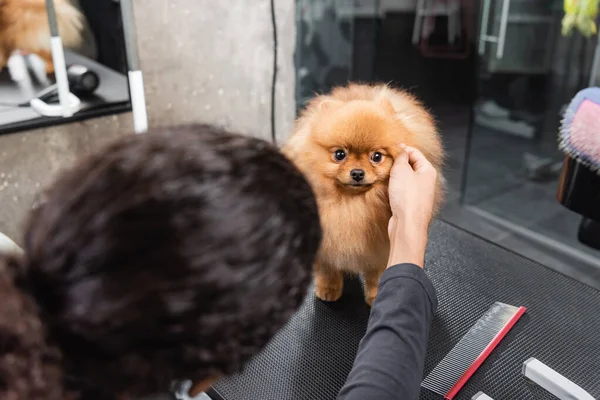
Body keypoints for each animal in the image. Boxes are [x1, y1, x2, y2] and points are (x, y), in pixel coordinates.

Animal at [282, 83, 446, 306]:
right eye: (340, 154)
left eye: (376, 157)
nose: (358, 173)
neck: (353, 205)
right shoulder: (325, 244)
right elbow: (327, 269)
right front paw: (329, 289)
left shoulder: (381, 248)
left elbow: (377, 274)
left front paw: (376, 295)